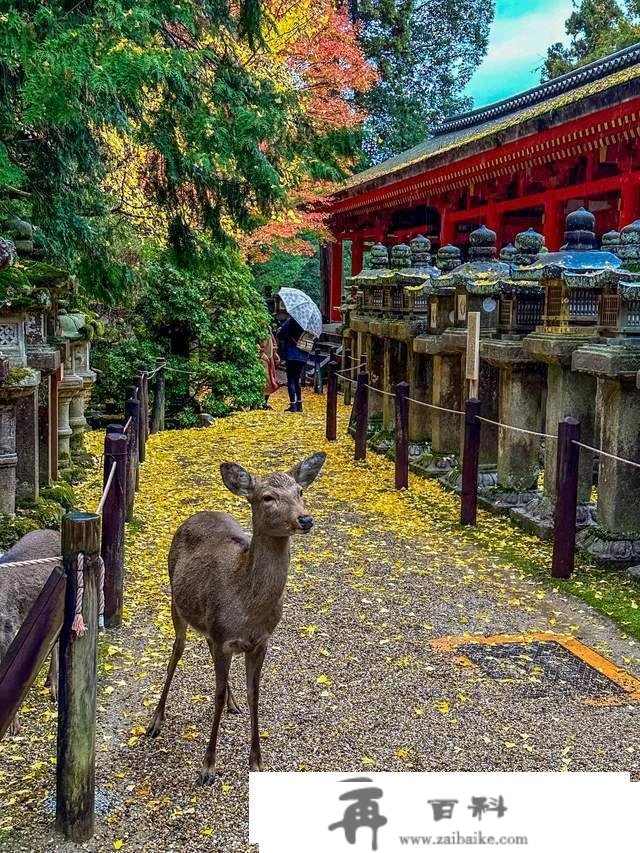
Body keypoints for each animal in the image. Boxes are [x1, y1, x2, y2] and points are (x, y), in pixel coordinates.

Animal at [146, 450, 324, 784]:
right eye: (267, 497)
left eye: (300, 491)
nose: (305, 519)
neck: (248, 609)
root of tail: (197, 513)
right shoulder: (222, 638)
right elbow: (213, 695)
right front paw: (207, 768)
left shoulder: (259, 641)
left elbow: (255, 694)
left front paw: (257, 763)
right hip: (176, 602)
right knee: (177, 650)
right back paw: (155, 721)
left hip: (207, 624)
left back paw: (233, 703)